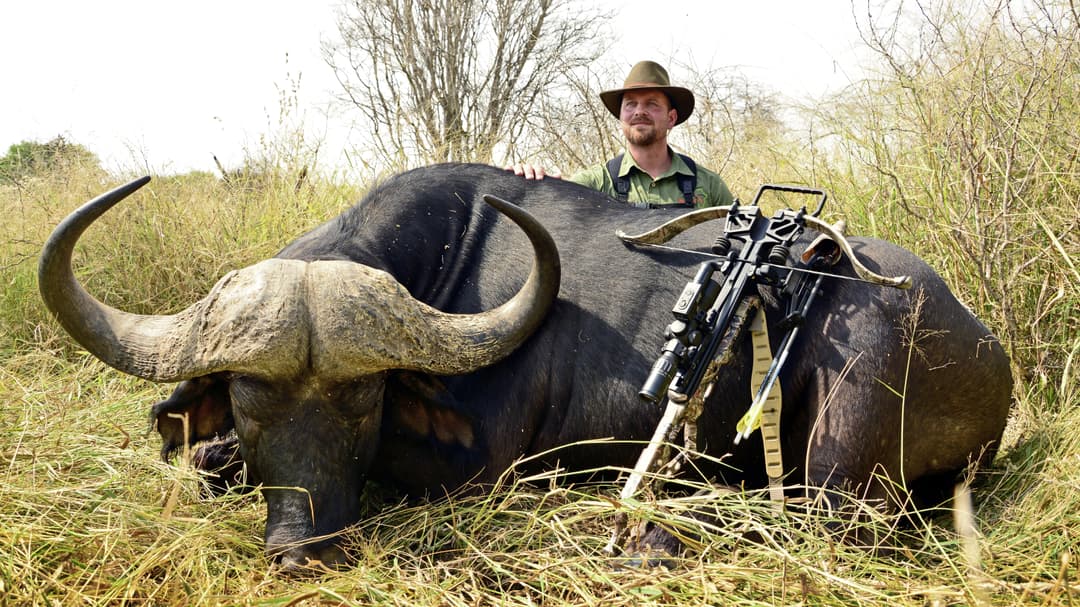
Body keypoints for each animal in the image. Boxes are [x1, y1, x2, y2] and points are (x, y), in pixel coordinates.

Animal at [35, 160, 1010, 565]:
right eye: (247, 399)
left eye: (362, 402)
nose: (297, 547)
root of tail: (981, 342)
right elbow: (203, 458)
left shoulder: (477, 466)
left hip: (838, 457)